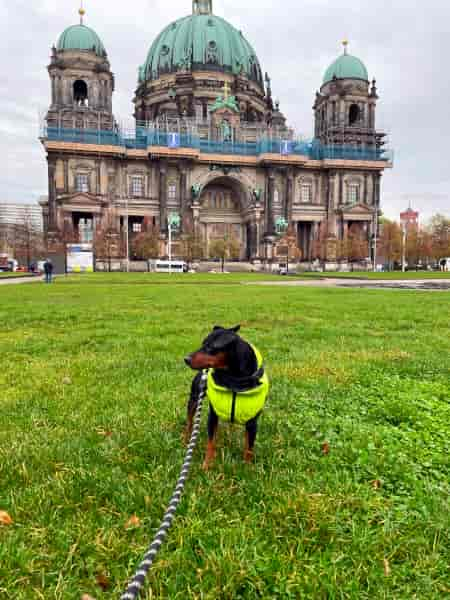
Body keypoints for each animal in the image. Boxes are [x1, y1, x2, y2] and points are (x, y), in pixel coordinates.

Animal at [185, 326, 268, 472]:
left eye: (210, 347)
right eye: (202, 344)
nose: (186, 359)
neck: (233, 378)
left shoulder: (252, 422)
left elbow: (249, 447)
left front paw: (247, 468)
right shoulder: (212, 415)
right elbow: (210, 442)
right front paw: (207, 465)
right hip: (194, 398)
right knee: (189, 420)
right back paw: (185, 439)